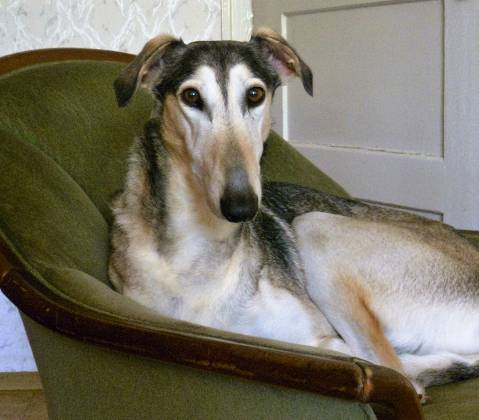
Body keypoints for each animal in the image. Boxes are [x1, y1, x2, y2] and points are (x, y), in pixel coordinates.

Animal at [109, 28, 479, 401]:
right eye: (191, 96)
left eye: (255, 94)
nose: (242, 206)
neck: (198, 250)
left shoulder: (317, 335)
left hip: (316, 225)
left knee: (395, 369)